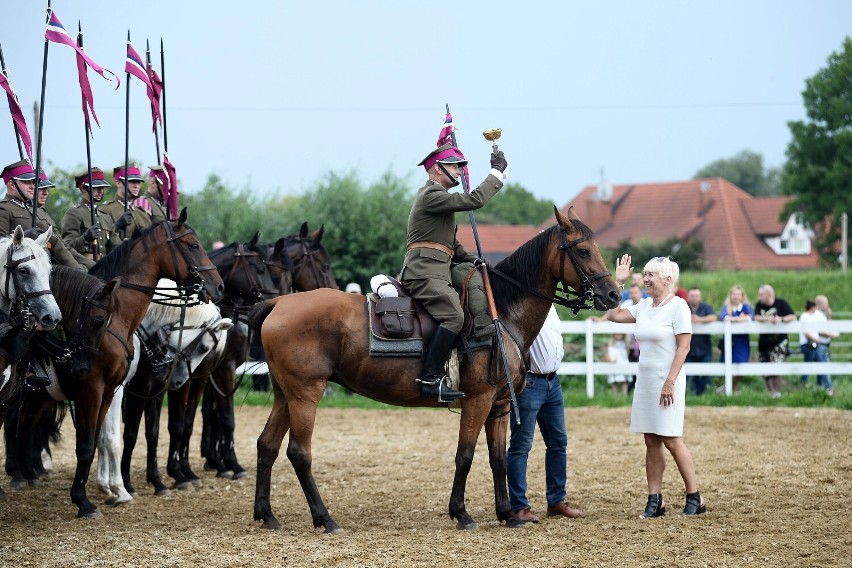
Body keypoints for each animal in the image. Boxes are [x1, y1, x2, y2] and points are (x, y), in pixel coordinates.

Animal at [96, 280, 231, 506]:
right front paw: (127, 483)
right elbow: (131, 434)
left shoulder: (156, 391)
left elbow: (154, 433)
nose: (177, 380)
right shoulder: (137, 390)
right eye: (204, 348)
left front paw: (158, 481)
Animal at [248, 207, 620, 532]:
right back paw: (325, 518)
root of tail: (279, 302)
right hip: (305, 396)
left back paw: (267, 515)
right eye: (583, 250)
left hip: (285, 396)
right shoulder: (477, 401)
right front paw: (462, 513)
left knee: (267, 445)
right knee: (299, 453)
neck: (500, 312)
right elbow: (465, 456)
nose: (613, 294)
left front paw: (508, 514)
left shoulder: (499, 406)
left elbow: (498, 458)